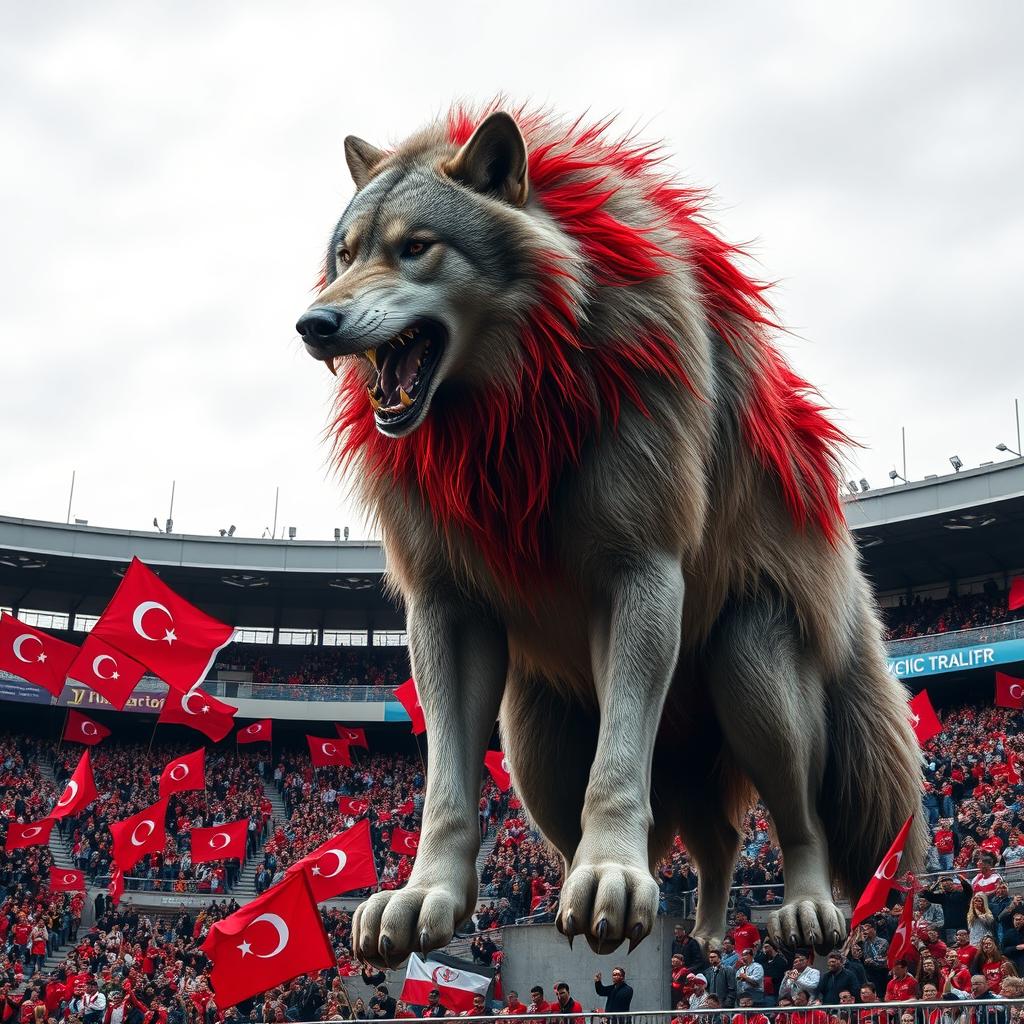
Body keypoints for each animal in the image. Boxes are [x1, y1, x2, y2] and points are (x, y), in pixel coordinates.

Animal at [295, 105, 925, 963]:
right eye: (344, 254)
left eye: (416, 246)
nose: (313, 323)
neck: (505, 420)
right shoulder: (444, 606)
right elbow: (447, 789)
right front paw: (427, 896)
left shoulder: (641, 570)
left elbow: (618, 767)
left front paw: (612, 879)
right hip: (535, 742)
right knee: (713, 841)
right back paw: (694, 936)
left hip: (752, 670)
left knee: (799, 824)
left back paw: (799, 909)